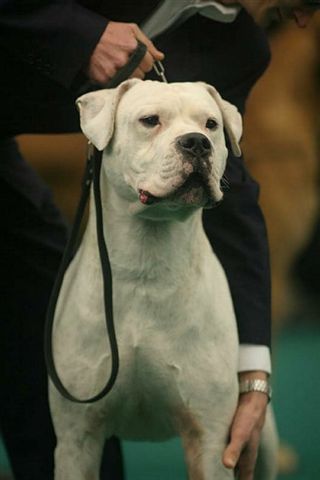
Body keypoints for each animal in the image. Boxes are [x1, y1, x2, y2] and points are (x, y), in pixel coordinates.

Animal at [50, 80, 278, 478]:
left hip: (261, 439)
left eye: (211, 124)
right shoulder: (76, 439)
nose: (196, 142)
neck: (146, 263)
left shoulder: (211, 439)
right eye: (150, 120)